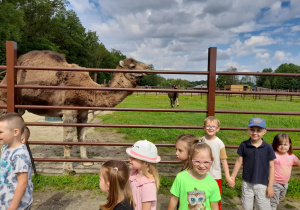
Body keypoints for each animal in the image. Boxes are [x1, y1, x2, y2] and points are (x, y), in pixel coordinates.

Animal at [0, 50, 150, 173]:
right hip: (4, 104)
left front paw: (86, 162)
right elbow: (68, 141)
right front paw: (68, 169)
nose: (148, 67)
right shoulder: (69, 110)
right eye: (132, 66)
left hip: (20, 108)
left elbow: (82, 138)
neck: (88, 90)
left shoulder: (83, 113)